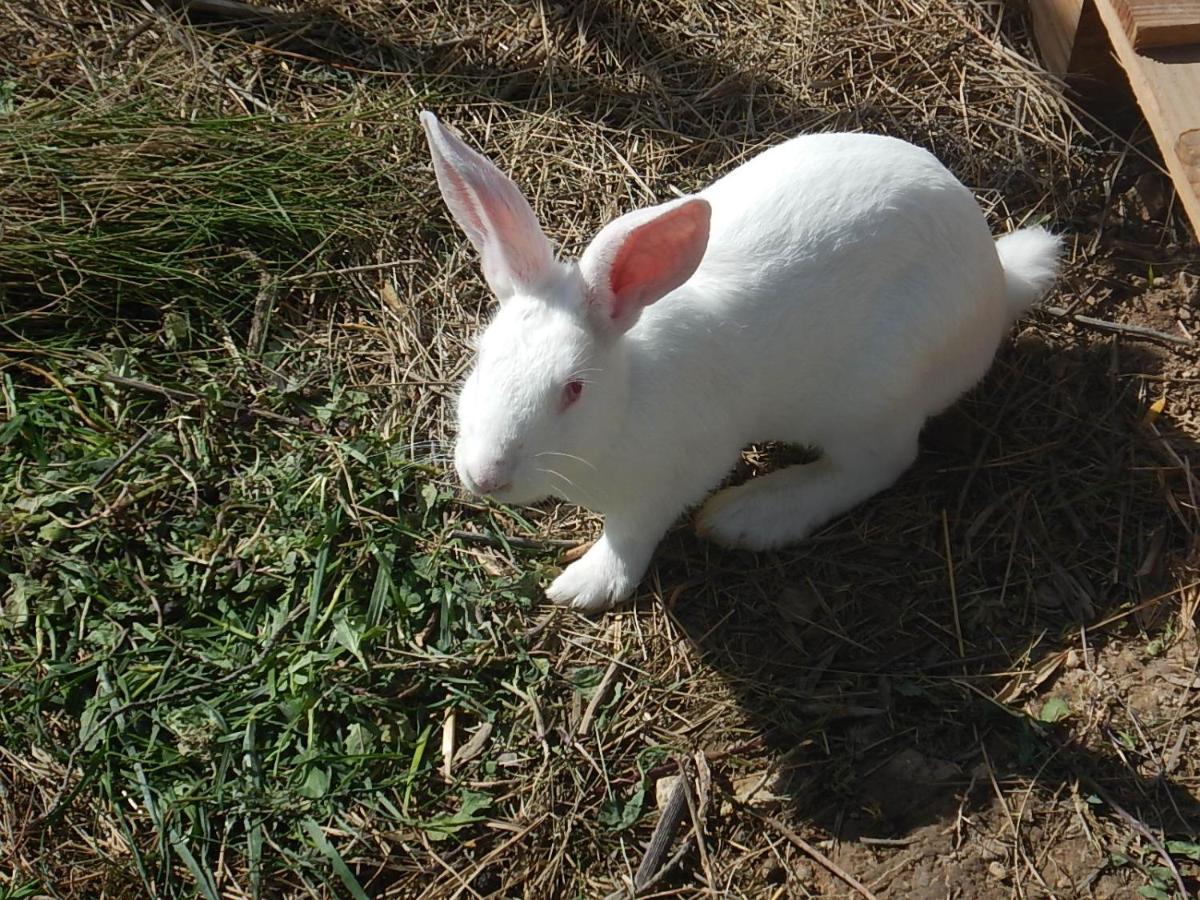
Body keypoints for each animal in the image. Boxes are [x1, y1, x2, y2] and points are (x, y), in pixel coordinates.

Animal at [422, 112, 1060, 614]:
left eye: (573, 388)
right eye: (481, 356)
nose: (486, 477)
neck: (628, 396)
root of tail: (997, 282)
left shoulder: (675, 476)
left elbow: (631, 533)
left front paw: (586, 585)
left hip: (872, 398)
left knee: (877, 465)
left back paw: (748, 516)